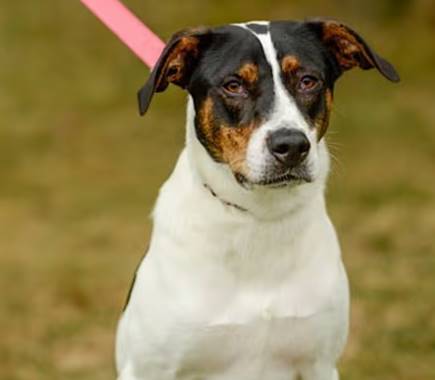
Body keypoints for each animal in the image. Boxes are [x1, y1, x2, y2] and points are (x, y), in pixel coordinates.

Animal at [115, 19, 398, 378]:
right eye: (233, 85)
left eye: (308, 81)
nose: (292, 146)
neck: (260, 219)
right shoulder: (149, 367)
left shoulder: (319, 363)